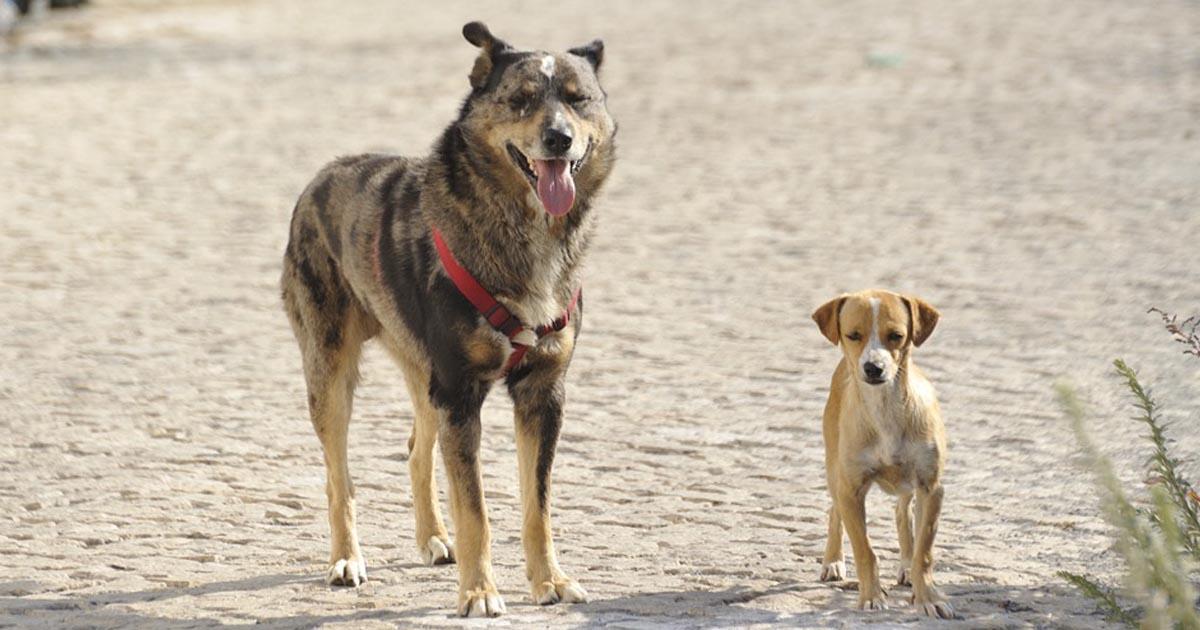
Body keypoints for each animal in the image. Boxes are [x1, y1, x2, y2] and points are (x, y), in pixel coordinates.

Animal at [279, 22, 614, 614]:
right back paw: (346, 559)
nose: (558, 138)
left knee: (417, 449)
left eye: (578, 100)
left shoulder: (542, 391)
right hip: (332, 370)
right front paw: (479, 592)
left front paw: (549, 580)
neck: (525, 234)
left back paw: (434, 539)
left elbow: (538, 504)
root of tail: (325, 173)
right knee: (338, 476)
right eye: (521, 99)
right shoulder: (461, 392)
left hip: (424, 372)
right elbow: (476, 509)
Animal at [811, 290, 950, 619]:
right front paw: (871, 597)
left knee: (902, 513)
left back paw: (906, 567)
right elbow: (865, 551)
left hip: (908, 486)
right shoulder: (851, 491)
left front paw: (928, 597)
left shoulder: (931, 488)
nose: (873, 368)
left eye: (896, 336)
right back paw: (833, 561)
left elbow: (924, 551)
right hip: (835, 472)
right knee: (834, 511)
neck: (886, 411)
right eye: (853, 335)